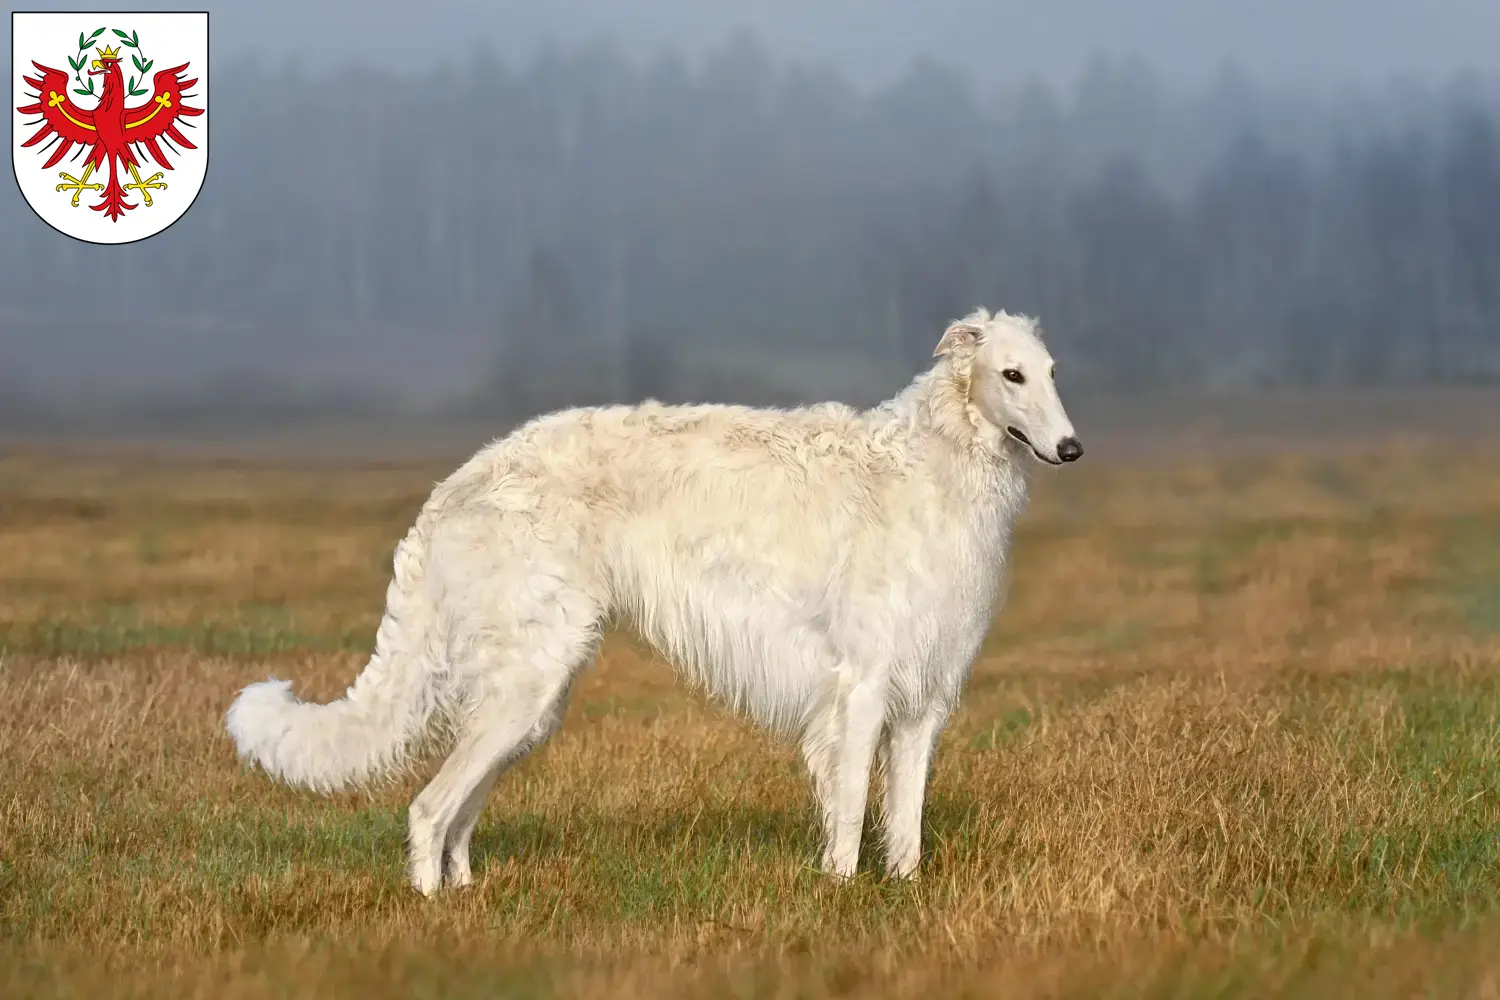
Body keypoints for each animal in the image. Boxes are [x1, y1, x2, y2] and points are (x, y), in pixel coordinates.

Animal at [225, 307, 1080, 893]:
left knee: (458, 814)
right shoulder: (860, 690)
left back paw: (467, 897)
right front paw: (838, 892)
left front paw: (903, 889)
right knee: (428, 808)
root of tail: (459, 482)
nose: (1072, 448)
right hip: (524, 684)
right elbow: (846, 814)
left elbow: (905, 822)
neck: (934, 462)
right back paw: (430, 908)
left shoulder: (923, 699)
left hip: (529, 700)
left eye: (1052, 372)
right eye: (1010, 375)